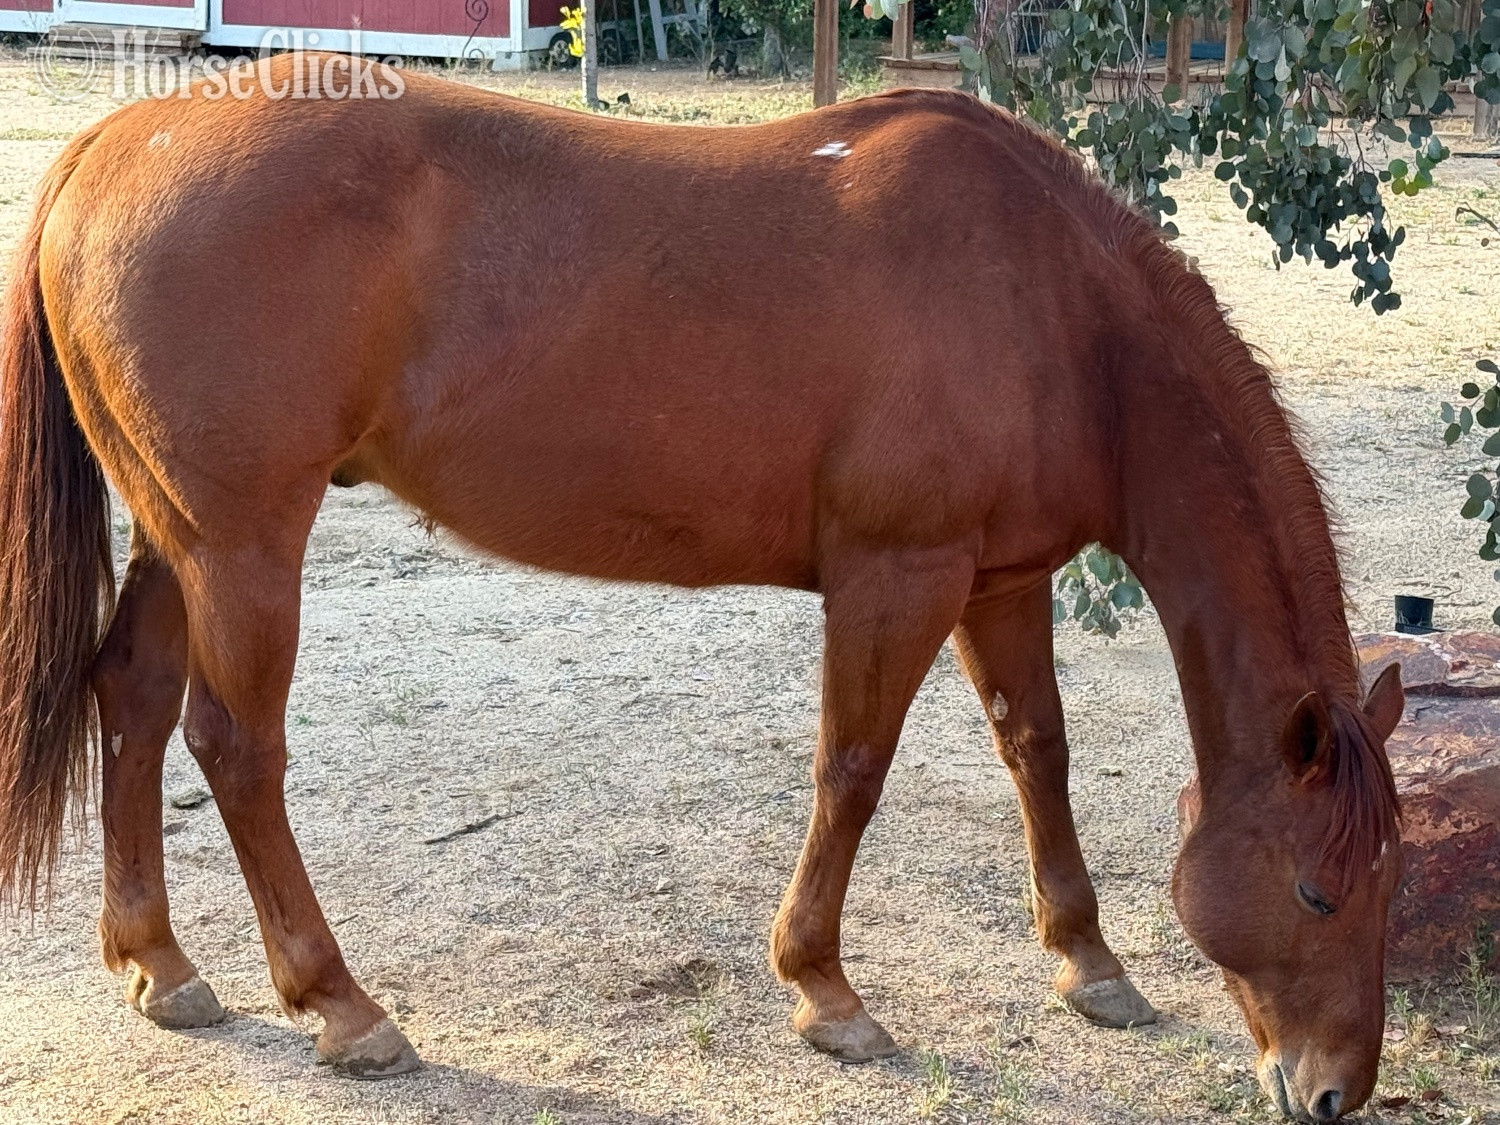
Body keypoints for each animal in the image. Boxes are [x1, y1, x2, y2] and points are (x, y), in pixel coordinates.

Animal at [0, 54, 1405, 1120]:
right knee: (234, 750)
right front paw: (825, 990)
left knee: (130, 699)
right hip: (242, 542)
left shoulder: (1000, 580)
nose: (1335, 1092)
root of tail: (112, 142)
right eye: (1316, 891)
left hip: (181, 534)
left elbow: (1035, 751)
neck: (1054, 305)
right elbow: (852, 772)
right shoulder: (898, 576)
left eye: (1389, 881)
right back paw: (340, 1007)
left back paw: (160, 965)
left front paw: (1088, 963)